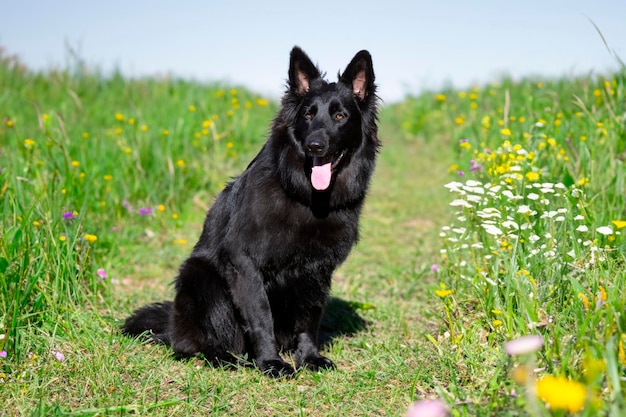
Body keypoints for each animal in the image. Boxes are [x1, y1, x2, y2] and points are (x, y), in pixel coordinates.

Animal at [120, 46, 378, 376]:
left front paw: (309, 358)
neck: (306, 198)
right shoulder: (245, 265)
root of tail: (172, 326)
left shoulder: (317, 270)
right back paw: (224, 357)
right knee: (192, 345)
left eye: (340, 116)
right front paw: (270, 363)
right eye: (308, 115)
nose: (315, 145)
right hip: (202, 279)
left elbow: (310, 319)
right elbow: (260, 318)